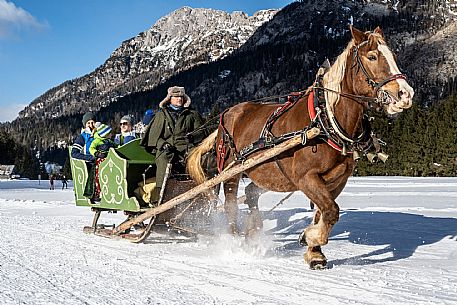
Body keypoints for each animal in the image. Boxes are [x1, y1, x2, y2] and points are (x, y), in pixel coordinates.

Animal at [185, 26, 414, 268]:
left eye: (393, 56)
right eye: (372, 57)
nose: (406, 94)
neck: (324, 121)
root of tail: (228, 114)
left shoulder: (336, 181)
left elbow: (324, 213)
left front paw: (315, 252)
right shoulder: (306, 178)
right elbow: (331, 211)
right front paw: (310, 237)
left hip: (268, 173)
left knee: (251, 193)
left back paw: (253, 232)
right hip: (230, 171)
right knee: (231, 205)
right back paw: (235, 241)